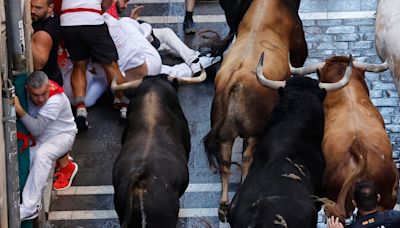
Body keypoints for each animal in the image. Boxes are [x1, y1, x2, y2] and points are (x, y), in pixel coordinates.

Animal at [205, 0, 308, 221]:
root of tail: (234, 84)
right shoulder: (298, 43)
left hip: (225, 136)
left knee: (225, 164)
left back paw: (223, 205)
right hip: (254, 132)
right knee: (246, 158)